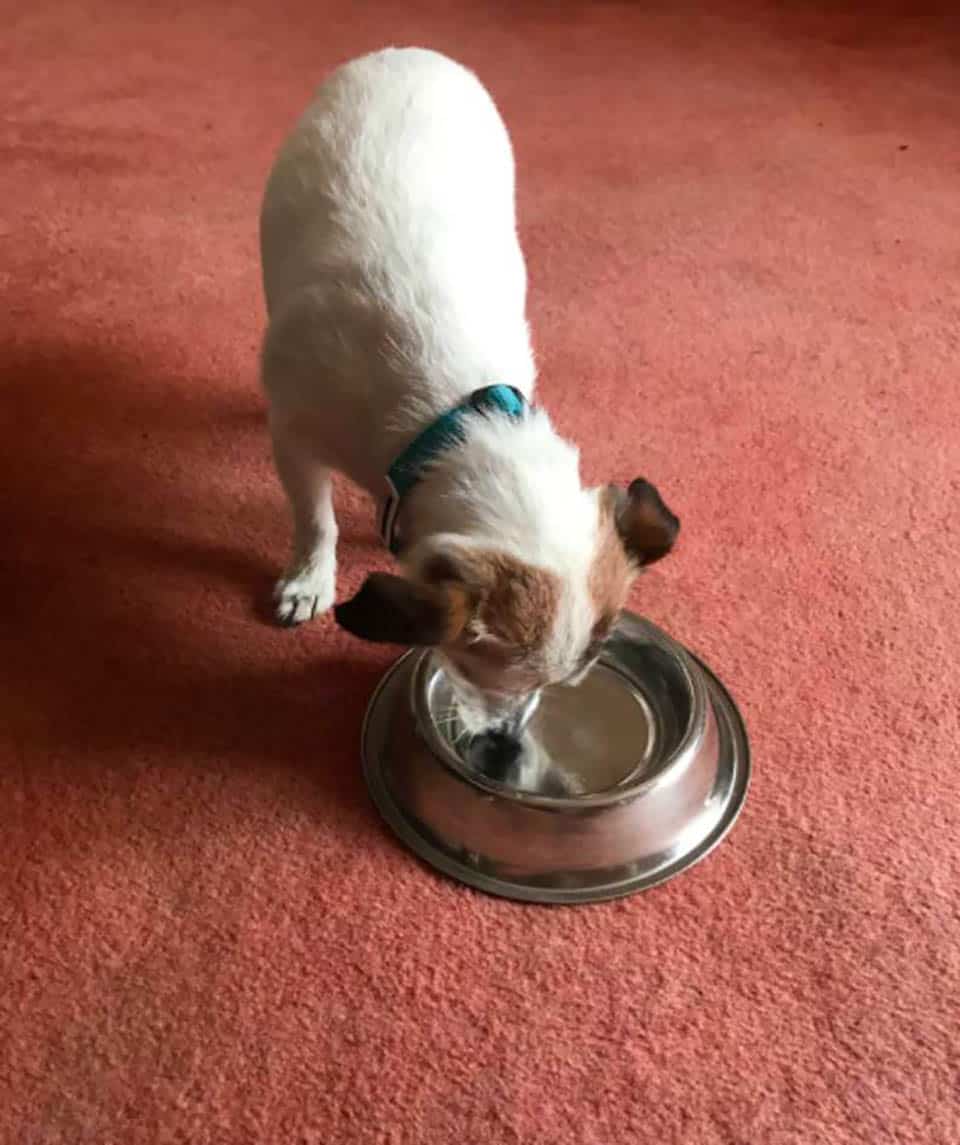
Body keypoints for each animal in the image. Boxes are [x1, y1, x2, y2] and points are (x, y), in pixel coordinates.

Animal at [258, 49, 678, 737]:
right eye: (475, 666)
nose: (506, 739)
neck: (453, 418)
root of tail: (410, 52)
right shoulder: (295, 435)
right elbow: (314, 518)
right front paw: (309, 577)